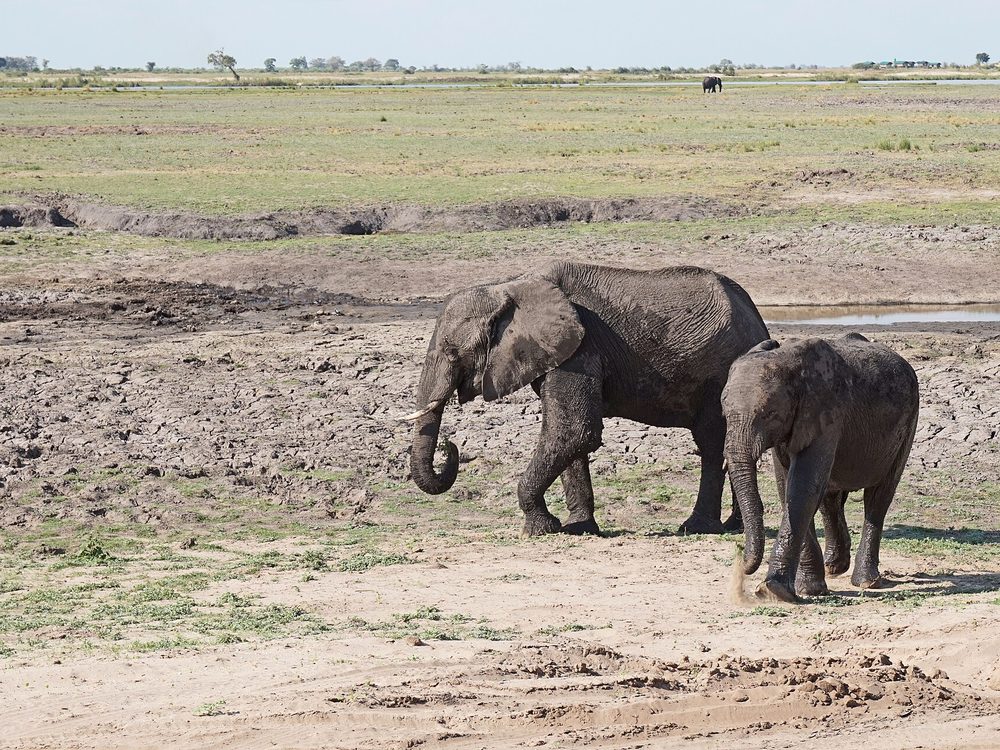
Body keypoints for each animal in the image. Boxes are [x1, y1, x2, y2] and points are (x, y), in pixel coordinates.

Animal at [402, 262, 770, 537]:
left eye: (451, 352)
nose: (450, 445)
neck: (511, 286)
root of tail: (759, 320)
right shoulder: (560, 353)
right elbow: (570, 438)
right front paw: (579, 528)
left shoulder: (582, 349)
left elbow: (573, 431)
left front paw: (542, 528)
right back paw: (733, 526)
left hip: (721, 372)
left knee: (712, 442)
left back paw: (697, 528)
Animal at [722, 333, 919, 603]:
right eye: (723, 412)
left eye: (769, 413)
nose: (740, 555)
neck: (788, 362)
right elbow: (788, 489)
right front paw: (809, 589)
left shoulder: (827, 413)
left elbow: (802, 488)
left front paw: (773, 591)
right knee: (830, 497)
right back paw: (834, 567)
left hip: (908, 424)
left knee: (878, 497)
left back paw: (866, 581)